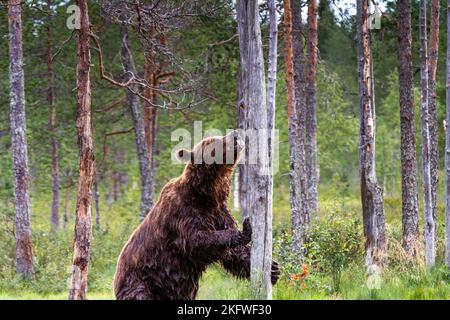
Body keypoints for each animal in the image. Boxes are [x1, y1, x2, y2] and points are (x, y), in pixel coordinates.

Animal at [114, 131, 280, 300]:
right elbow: (197, 240)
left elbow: (233, 253)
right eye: (211, 141)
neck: (206, 195)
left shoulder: (219, 212)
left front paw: (274, 270)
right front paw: (244, 229)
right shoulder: (182, 213)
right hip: (141, 280)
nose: (235, 134)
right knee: (140, 293)